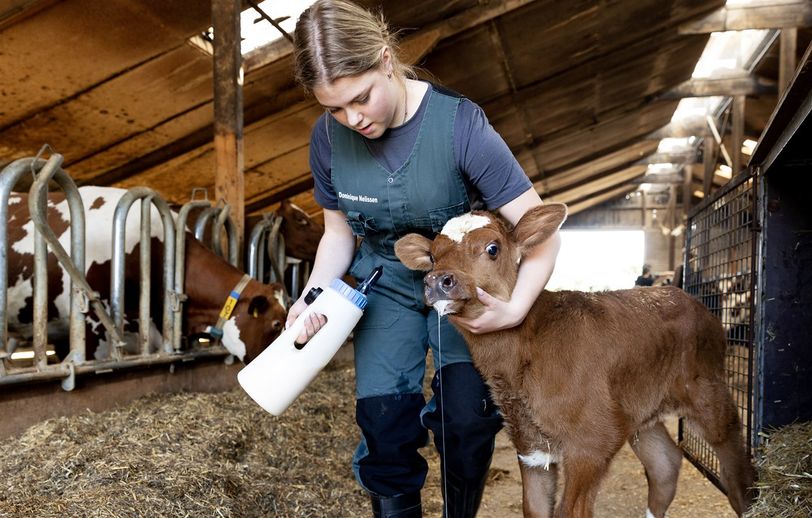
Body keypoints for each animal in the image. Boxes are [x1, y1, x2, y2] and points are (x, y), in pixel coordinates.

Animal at [394, 205, 756, 518]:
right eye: (432, 256)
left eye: (492, 248)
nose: (438, 281)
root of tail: (685, 296)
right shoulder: (530, 445)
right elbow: (534, 509)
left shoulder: (591, 443)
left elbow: (570, 511)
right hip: (640, 412)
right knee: (665, 464)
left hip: (708, 393)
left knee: (736, 469)